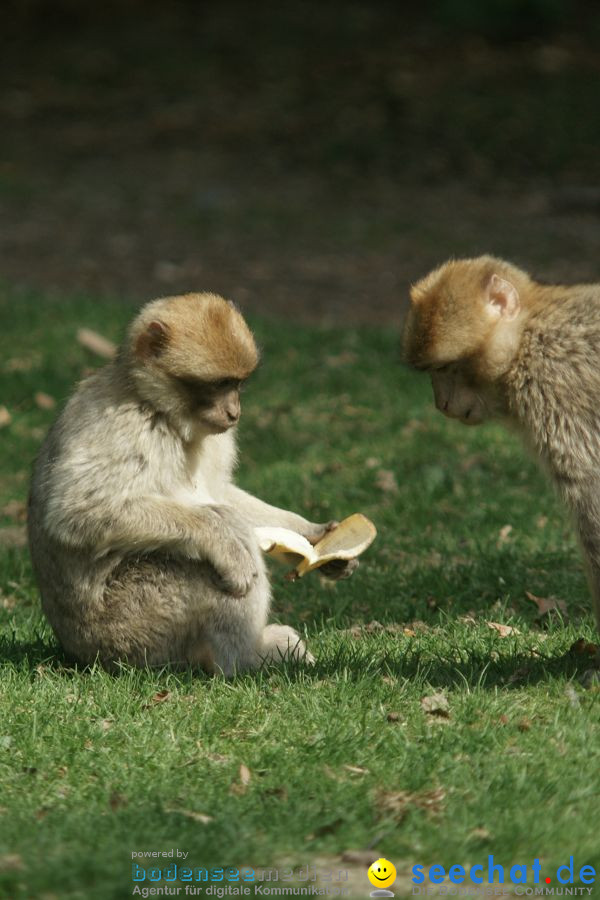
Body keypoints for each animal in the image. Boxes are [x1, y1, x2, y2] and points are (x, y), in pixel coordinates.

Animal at [29, 292, 356, 672]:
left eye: (236, 384)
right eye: (218, 384)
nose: (234, 412)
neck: (158, 410)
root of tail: (77, 651)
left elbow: (221, 491)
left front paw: (314, 535)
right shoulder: (123, 426)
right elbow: (76, 511)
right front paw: (224, 543)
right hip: (134, 624)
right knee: (224, 534)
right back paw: (248, 658)